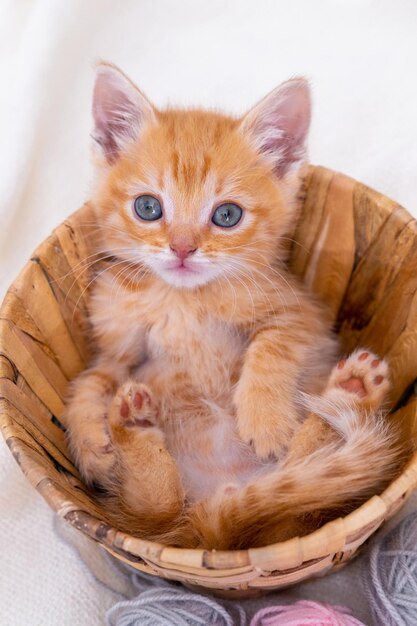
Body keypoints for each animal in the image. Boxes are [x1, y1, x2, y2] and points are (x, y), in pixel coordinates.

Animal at [63, 61, 402, 544]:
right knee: (155, 506)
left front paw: (264, 419)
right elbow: (91, 381)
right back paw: (131, 428)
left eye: (227, 215)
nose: (182, 249)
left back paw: (352, 390)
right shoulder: (117, 347)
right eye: (148, 208)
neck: (182, 299)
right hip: (158, 512)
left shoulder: (302, 312)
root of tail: (212, 517)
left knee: (302, 465)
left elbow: (272, 346)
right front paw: (92, 442)